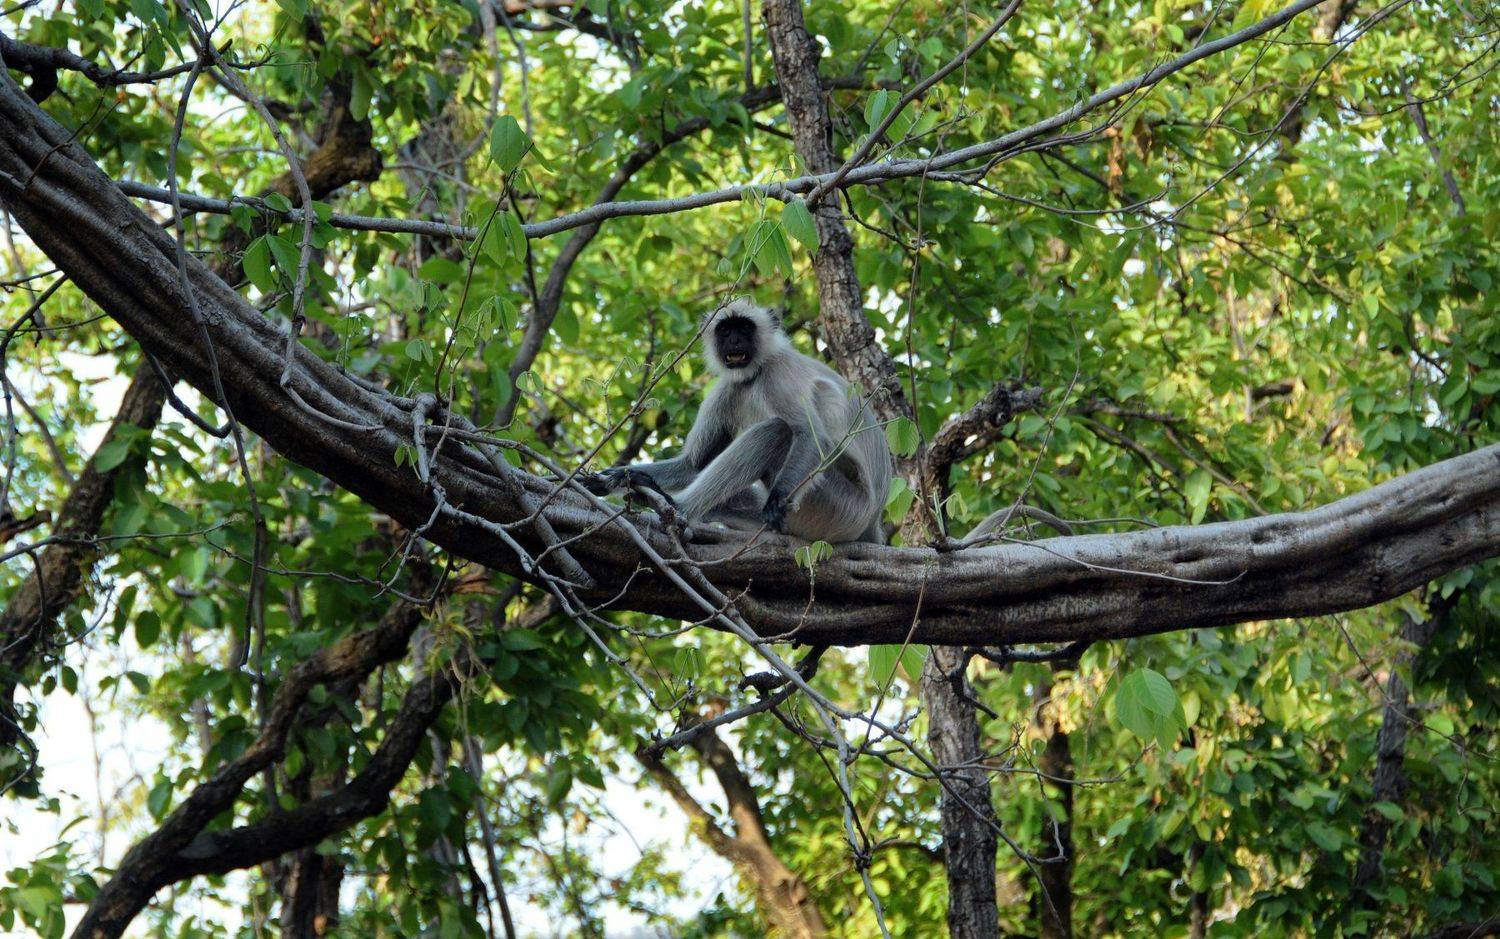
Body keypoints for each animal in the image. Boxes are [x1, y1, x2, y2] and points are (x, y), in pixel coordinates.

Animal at [587, 299, 892, 544]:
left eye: (744, 328)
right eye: (725, 330)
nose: (734, 341)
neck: (754, 374)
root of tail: (872, 519)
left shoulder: (778, 374)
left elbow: (811, 435)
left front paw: (776, 499)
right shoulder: (728, 388)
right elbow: (693, 464)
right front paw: (619, 477)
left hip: (835, 509)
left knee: (777, 430)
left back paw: (676, 507)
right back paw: (653, 491)